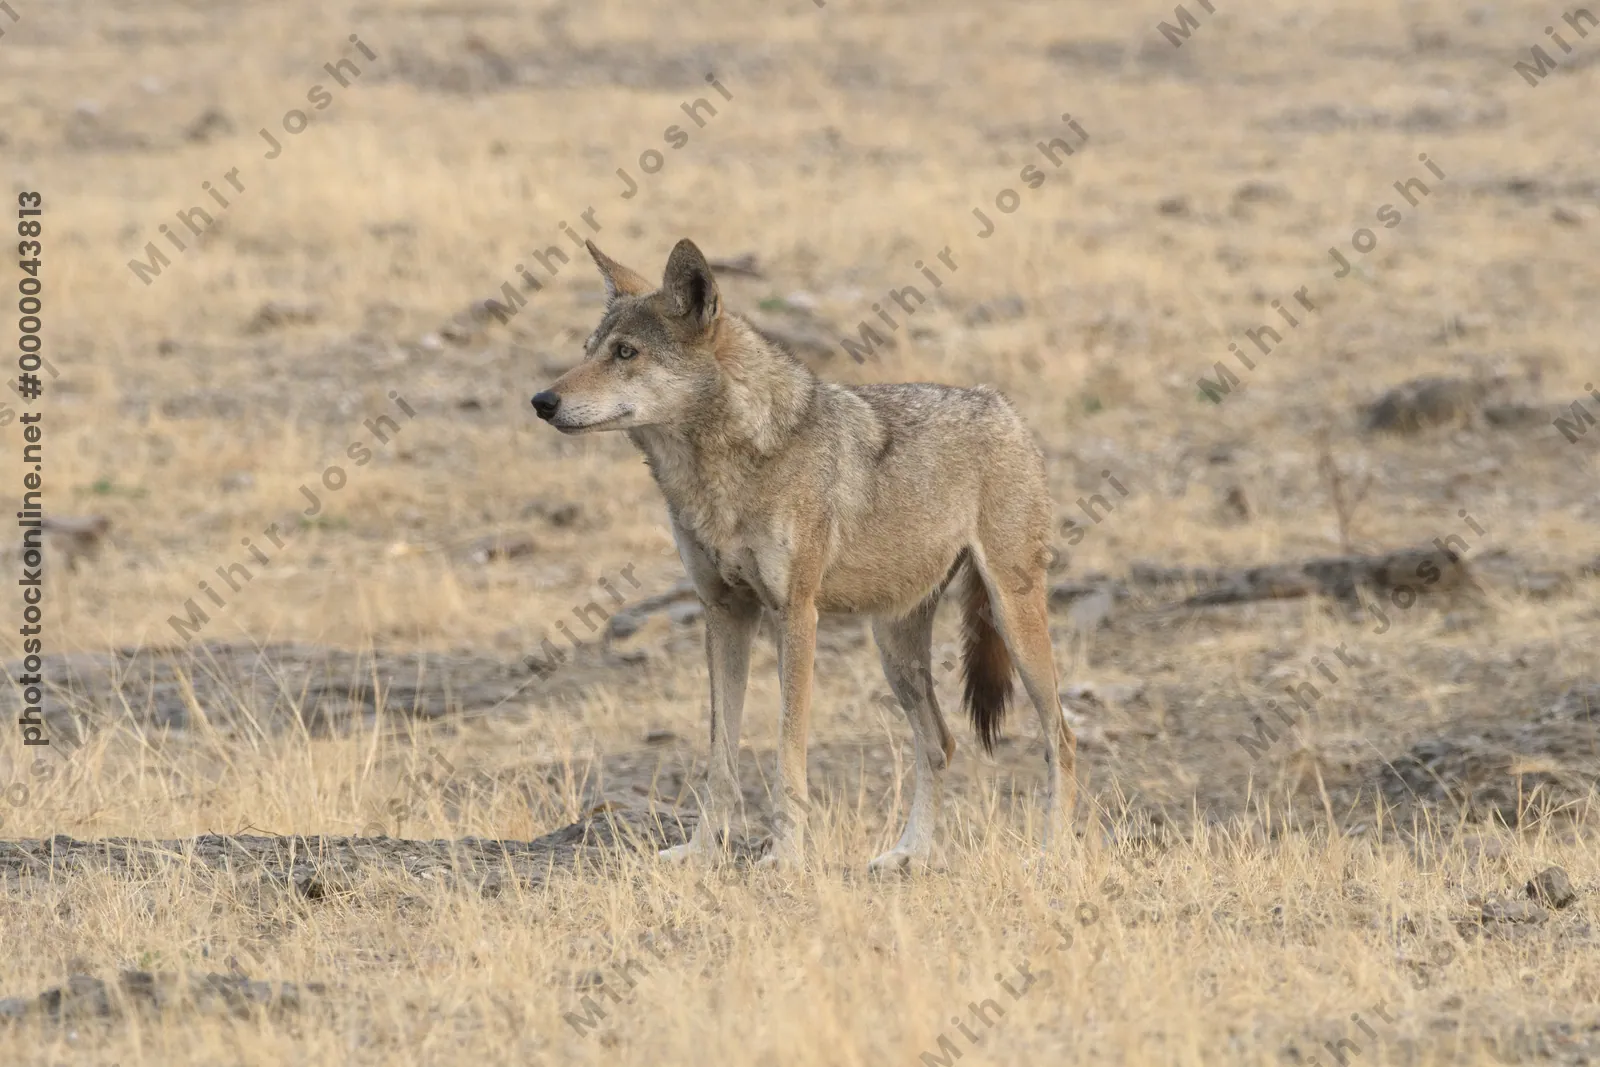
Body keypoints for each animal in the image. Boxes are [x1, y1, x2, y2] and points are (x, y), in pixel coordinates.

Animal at [531, 239, 1076, 870]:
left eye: (625, 353)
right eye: (588, 351)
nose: (542, 400)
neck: (721, 476)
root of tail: (1003, 406)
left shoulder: (795, 614)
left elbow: (788, 749)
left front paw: (785, 855)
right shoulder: (724, 612)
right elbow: (720, 757)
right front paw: (700, 851)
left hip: (1012, 615)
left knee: (1060, 739)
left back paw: (1051, 855)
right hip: (894, 648)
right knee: (939, 742)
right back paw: (905, 855)